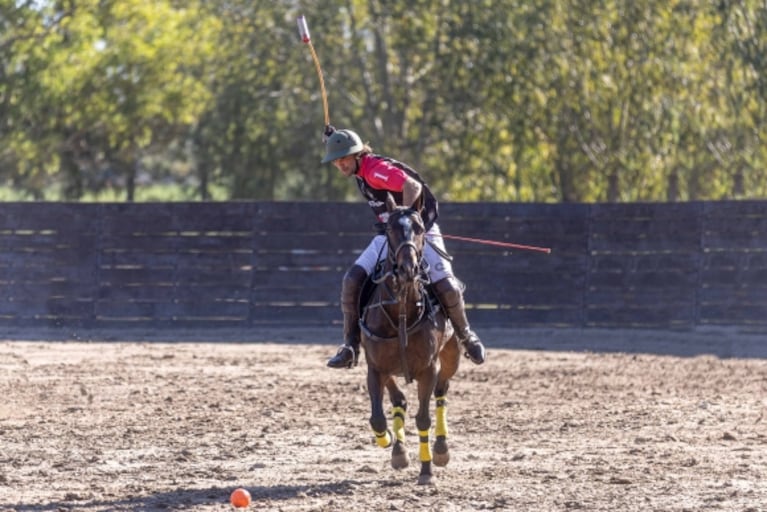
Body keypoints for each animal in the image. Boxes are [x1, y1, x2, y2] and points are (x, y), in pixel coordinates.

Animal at [360, 194, 462, 486]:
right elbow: (378, 419)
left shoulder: (429, 368)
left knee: (441, 392)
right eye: (391, 229)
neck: (402, 311)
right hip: (389, 371)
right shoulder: (375, 368)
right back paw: (398, 451)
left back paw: (440, 449)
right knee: (399, 401)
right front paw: (389, 442)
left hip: (451, 357)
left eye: (418, 228)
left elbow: (423, 419)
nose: (407, 268)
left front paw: (426, 470)